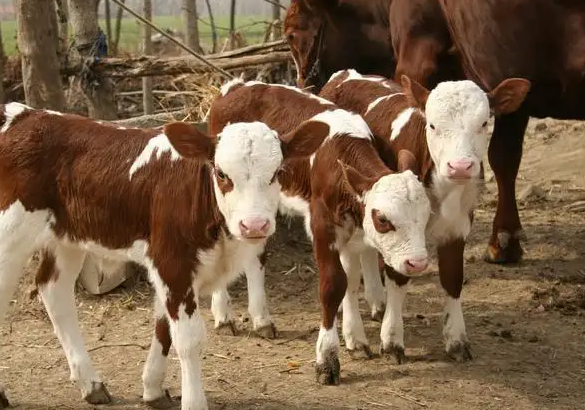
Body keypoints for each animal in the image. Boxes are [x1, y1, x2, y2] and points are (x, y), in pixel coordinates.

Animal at [0, 102, 322, 410]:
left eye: (278, 172)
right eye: (221, 173)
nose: (254, 225)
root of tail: (23, 114)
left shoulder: (171, 267)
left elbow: (163, 328)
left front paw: (152, 390)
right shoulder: (172, 262)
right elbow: (189, 339)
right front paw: (194, 403)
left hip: (68, 236)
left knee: (53, 289)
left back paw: (91, 385)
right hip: (11, 234)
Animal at [208, 79, 432, 384]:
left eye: (425, 217)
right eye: (383, 219)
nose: (418, 263)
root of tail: (236, 86)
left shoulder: (359, 233)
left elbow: (364, 279)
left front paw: (378, 342)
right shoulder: (322, 224)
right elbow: (333, 284)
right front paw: (327, 360)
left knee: (257, 255)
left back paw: (261, 320)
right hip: (225, 198)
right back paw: (224, 316)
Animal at [318, 69, 532, 364]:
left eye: (484, 123)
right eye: (432, 125)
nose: (460, 166)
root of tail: (347, 74)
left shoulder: (458, 225)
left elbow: (453, 277)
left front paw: (456, 340)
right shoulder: (398, 227)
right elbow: (398, 277)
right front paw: (392, 340)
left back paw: (376, 300)